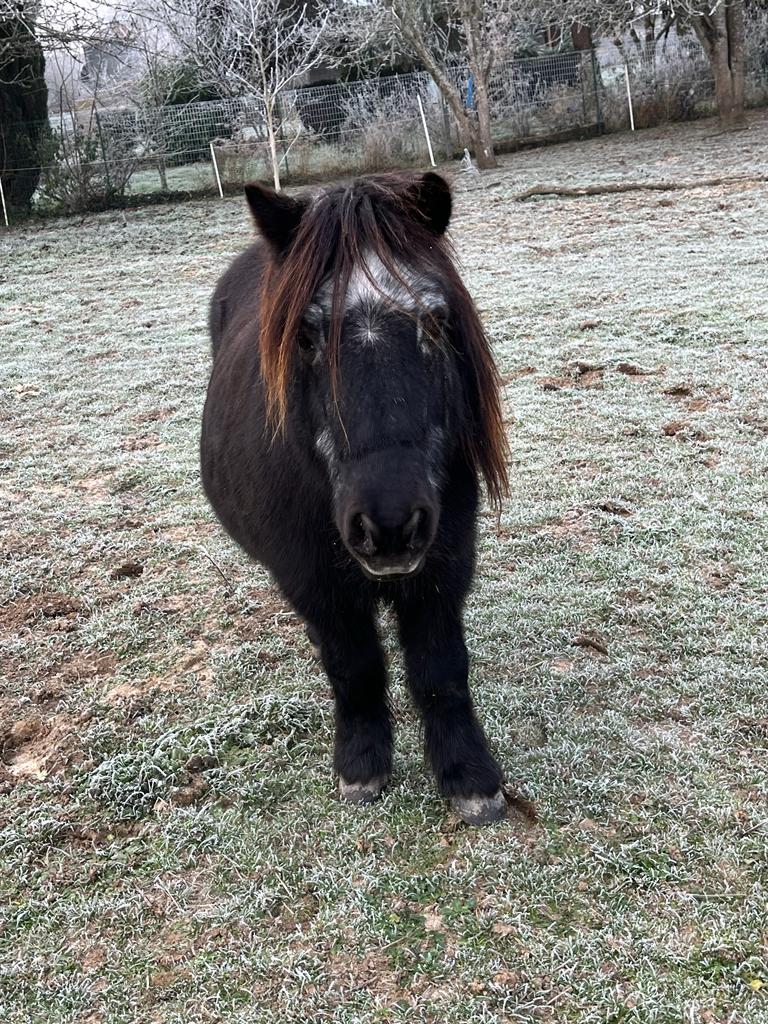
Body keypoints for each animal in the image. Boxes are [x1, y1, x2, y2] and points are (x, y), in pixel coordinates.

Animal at [201, 169, 512, 823]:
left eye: (435, 322)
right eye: (306, 335)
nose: (388, 523)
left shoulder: (443, 566)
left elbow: (441, 669)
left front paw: (469, 776)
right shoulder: (315, 582)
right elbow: (355, 668)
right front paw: (363, 765)